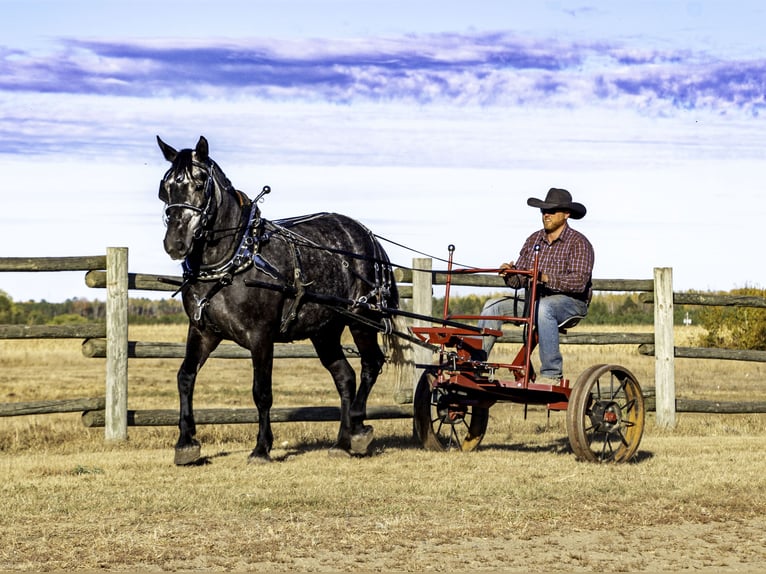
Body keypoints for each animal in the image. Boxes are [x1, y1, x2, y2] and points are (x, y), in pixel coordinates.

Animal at [158, 136, 404, 468]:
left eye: (199, 184)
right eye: (166, 186)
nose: (176, 242)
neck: (236, 256)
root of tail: (368, 237)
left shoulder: (261, 336)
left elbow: (261, 392)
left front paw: (261, 448)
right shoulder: (202, 330)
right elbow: (185, 377)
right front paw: (185, 443)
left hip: (362, 319)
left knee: (370, 365)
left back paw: (357, 427)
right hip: (324, 330)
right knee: (345, 376)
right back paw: (341, 441)